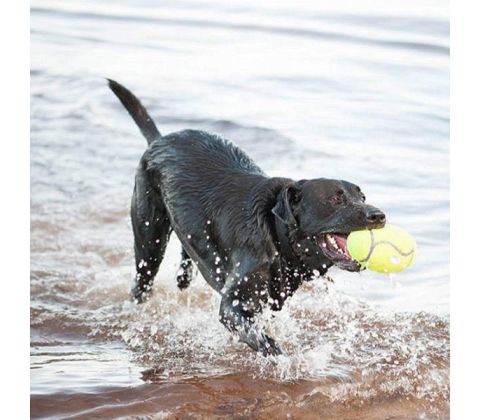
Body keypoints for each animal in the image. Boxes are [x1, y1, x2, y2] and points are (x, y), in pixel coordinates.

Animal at [108, 79, 386, 354]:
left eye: (361, 196)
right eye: (336, 199)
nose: (379, 216)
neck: (277, 236)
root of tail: (159, 139)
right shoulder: (233, 305)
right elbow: (264, 341)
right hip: (149, 239)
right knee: (142, 282)